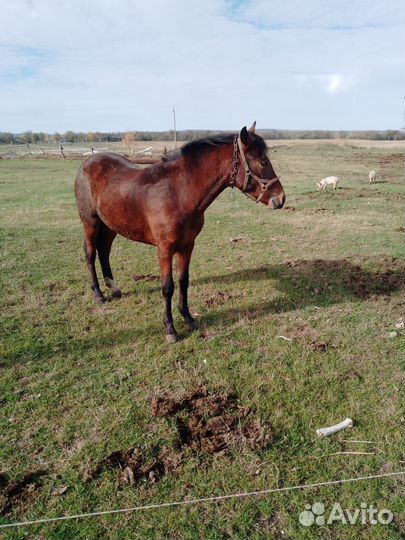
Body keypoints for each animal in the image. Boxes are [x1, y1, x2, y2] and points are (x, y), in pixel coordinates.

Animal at [75, 122, 284, 342]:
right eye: (262, 162)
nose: (281, 198)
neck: (178, 193)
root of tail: (87, 163)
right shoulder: (164, 249)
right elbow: (168, 287)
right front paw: (170, 329)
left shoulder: (187, 246)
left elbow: (183, 282)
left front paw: (188, 318)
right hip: (91, 223)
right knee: (90, 253)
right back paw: (98, 294)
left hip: (110, 225)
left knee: (104, 251)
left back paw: (114, 288)